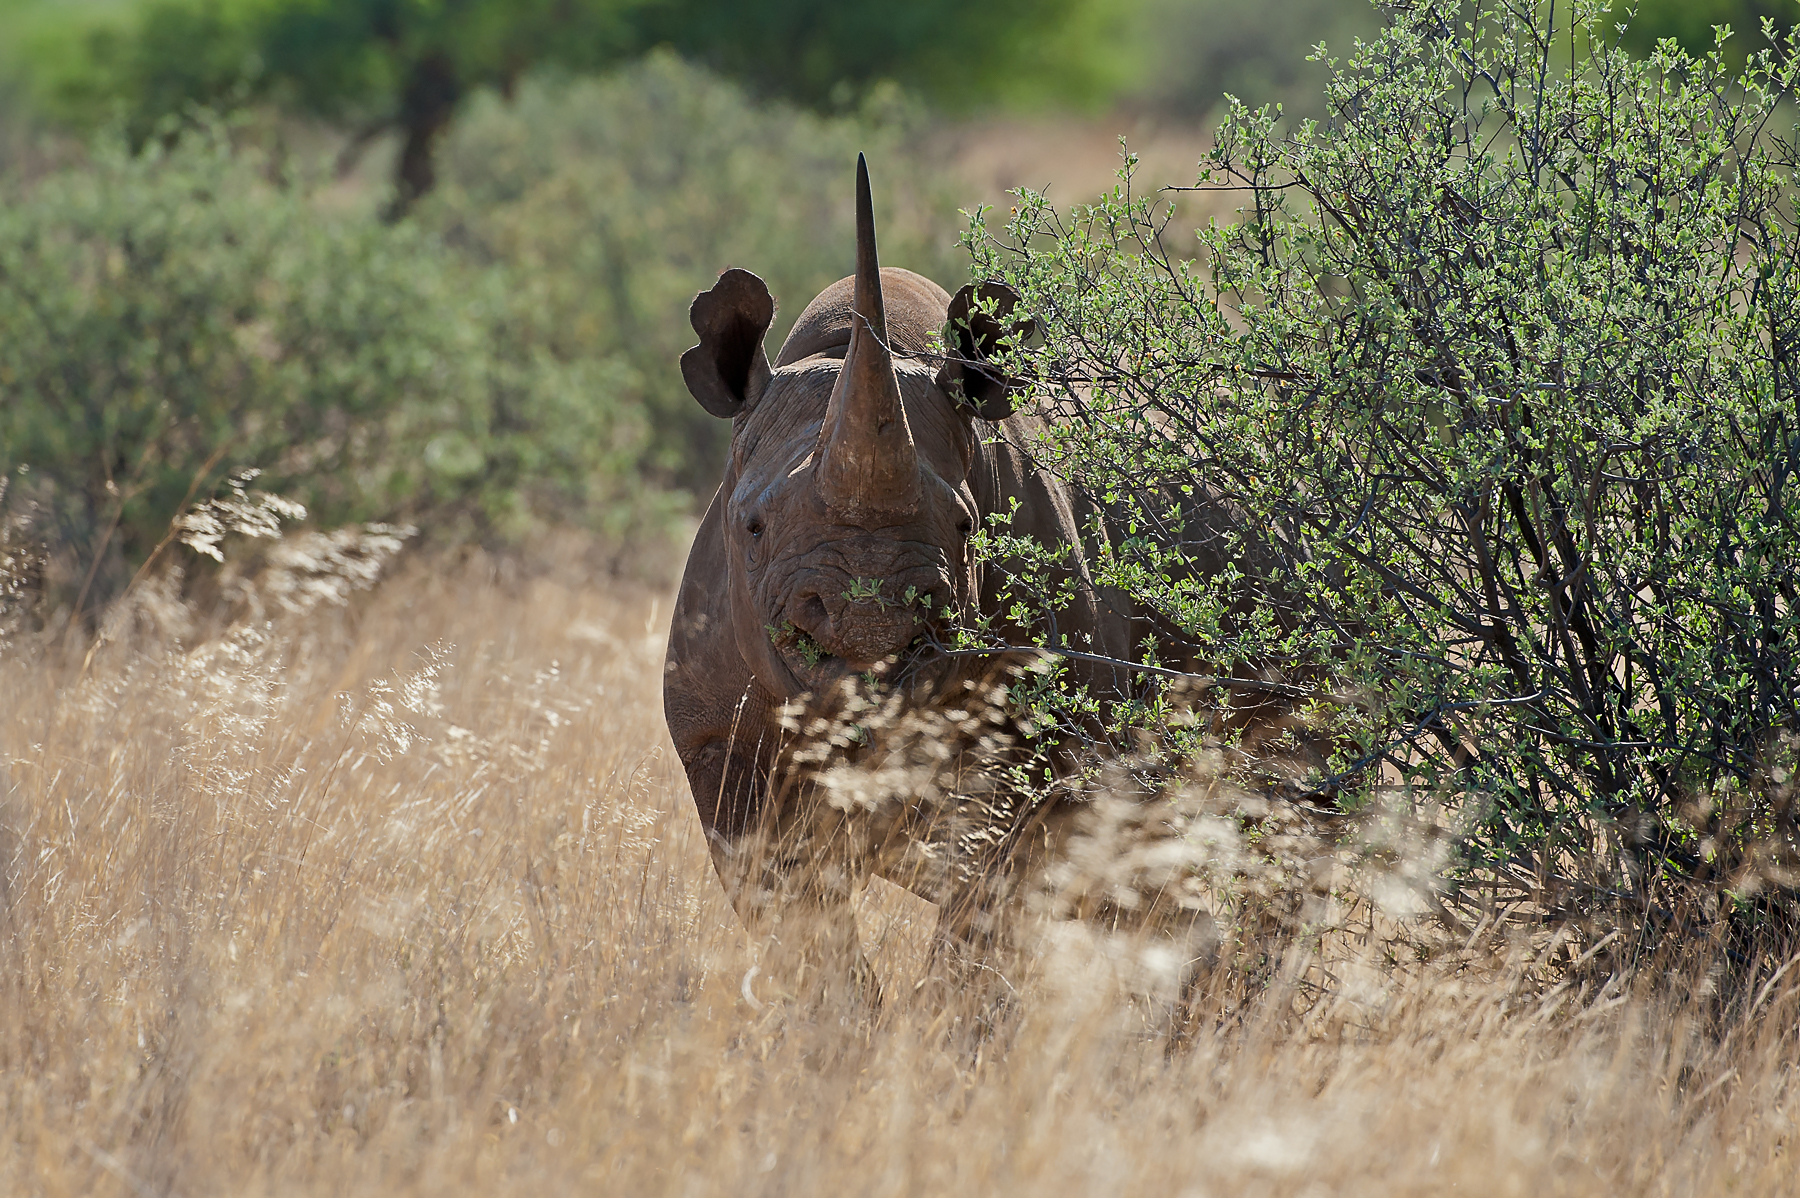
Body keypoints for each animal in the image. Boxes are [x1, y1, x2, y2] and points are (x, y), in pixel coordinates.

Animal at [663, 156, 1280, 998]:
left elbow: (983, 927)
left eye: (964, 526)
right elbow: (804, 929)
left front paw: (948, 1033)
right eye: (751, 526)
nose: (868, 622)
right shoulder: (721, 745)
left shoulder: (1047, 758)